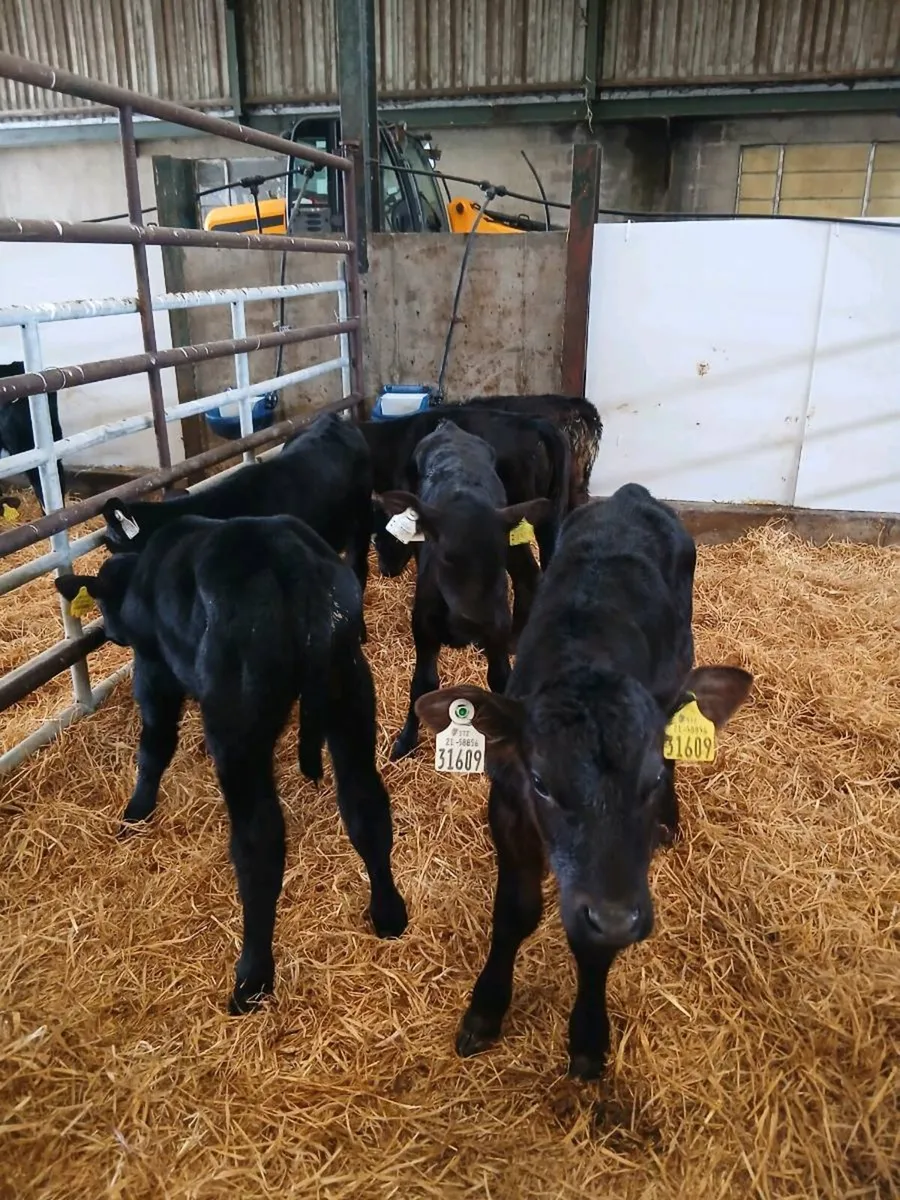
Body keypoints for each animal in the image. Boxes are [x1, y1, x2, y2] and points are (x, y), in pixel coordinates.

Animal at [55, 513, 408, 1014]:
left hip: (238, 725)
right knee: (365, 805)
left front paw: (136, 810)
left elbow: (154, 742)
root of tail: (291, 562)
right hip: (350, 694)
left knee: (259, 843)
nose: (112, 633)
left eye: (102, 603)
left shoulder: (154, 667)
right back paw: (388, 914)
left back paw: (252, 979)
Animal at [378, 420, 553, 761]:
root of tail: (449, 426)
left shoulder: (496, 632)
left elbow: (500, 679)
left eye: (498, 555)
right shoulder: (423, 631)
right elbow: (422, 683)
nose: (477, 621)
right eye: (446, 555)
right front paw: (406, 740)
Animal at [415, 484, 752, 1079]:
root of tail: (630, 496)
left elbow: (593, 941)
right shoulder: (508, 808)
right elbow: (516, 912)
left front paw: (589, 1036)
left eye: (647, 780)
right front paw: (485, 1009)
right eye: (541, 781)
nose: (618, 918)